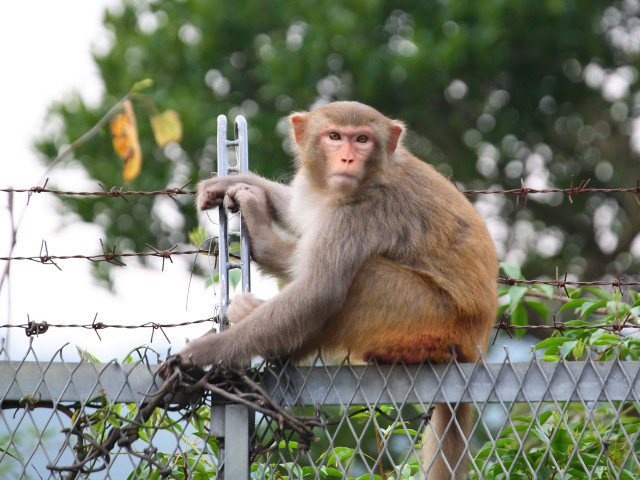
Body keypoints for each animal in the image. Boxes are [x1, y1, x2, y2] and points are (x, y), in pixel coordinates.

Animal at [178, 102, 498, 480]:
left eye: (362, 140)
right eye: (334, 136)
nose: (347, 158)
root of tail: (474, 347)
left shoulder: (362, 212)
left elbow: (318, 293)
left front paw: (202, 353)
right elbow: (298, 213)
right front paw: (235, 182)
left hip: (427, 318)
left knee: (360, 278)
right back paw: (265, 243)